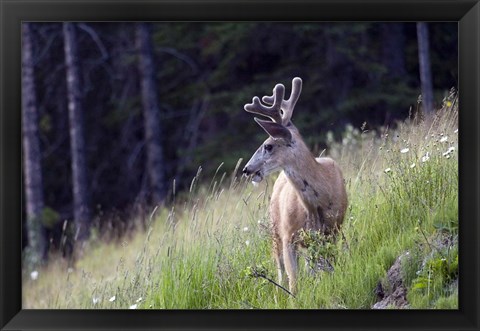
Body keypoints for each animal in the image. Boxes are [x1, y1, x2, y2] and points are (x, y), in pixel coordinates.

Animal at [242, 78, 346, 296]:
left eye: (268, 145)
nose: (246, 169)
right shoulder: (288, 234)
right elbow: (294, 281)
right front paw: (294, 298)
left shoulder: (333, 230)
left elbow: (329, 266)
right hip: (275, 230)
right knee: (280, 269)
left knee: (312, 266)